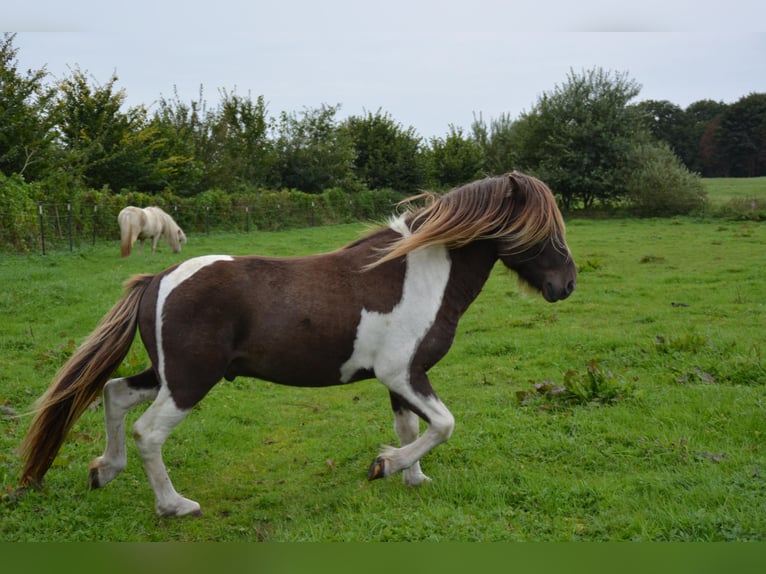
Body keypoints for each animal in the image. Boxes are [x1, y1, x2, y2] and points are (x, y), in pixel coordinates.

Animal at [19, 172, 576, 518]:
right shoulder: (405, 373)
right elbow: (443, 425)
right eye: (542, 229)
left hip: (166, 376)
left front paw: (412, 478)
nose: (565, 285)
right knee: (148, 433)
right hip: (189, 382)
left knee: (113, 394)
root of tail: (157, 277)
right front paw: (386, 466)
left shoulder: (398, 380)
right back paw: (175, 506)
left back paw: (104, 471)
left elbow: (411, 426)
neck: (418, 272)